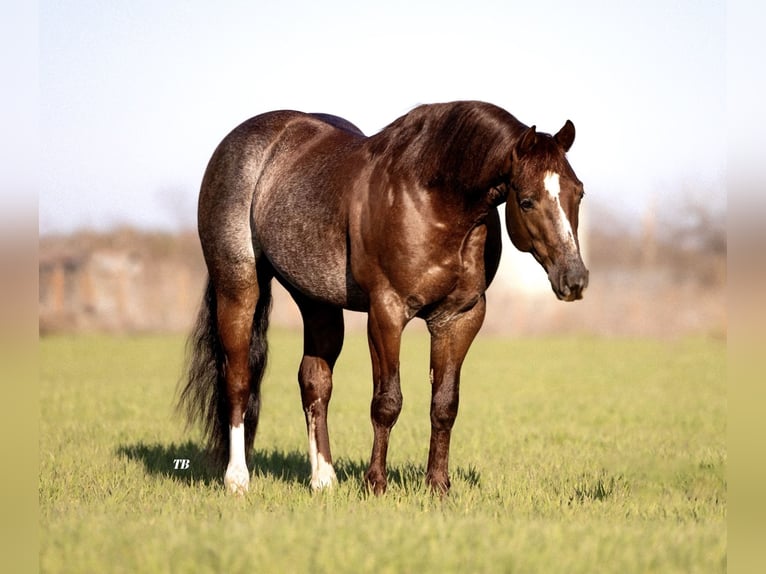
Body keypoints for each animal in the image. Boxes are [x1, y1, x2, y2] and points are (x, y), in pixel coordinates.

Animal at [178, 101, 588, 498]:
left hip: (317, 301)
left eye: (578, 192)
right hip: (238, 286)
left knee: (314, 382)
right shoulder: (386, 312)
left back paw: (324, 479)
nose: (575, 278)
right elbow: (387, 402)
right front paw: (375, 483)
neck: (433, 197)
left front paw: (438, 486)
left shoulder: (460, 317)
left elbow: (445, 404)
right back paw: (237, 479)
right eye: (527, 200)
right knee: (238, 378)